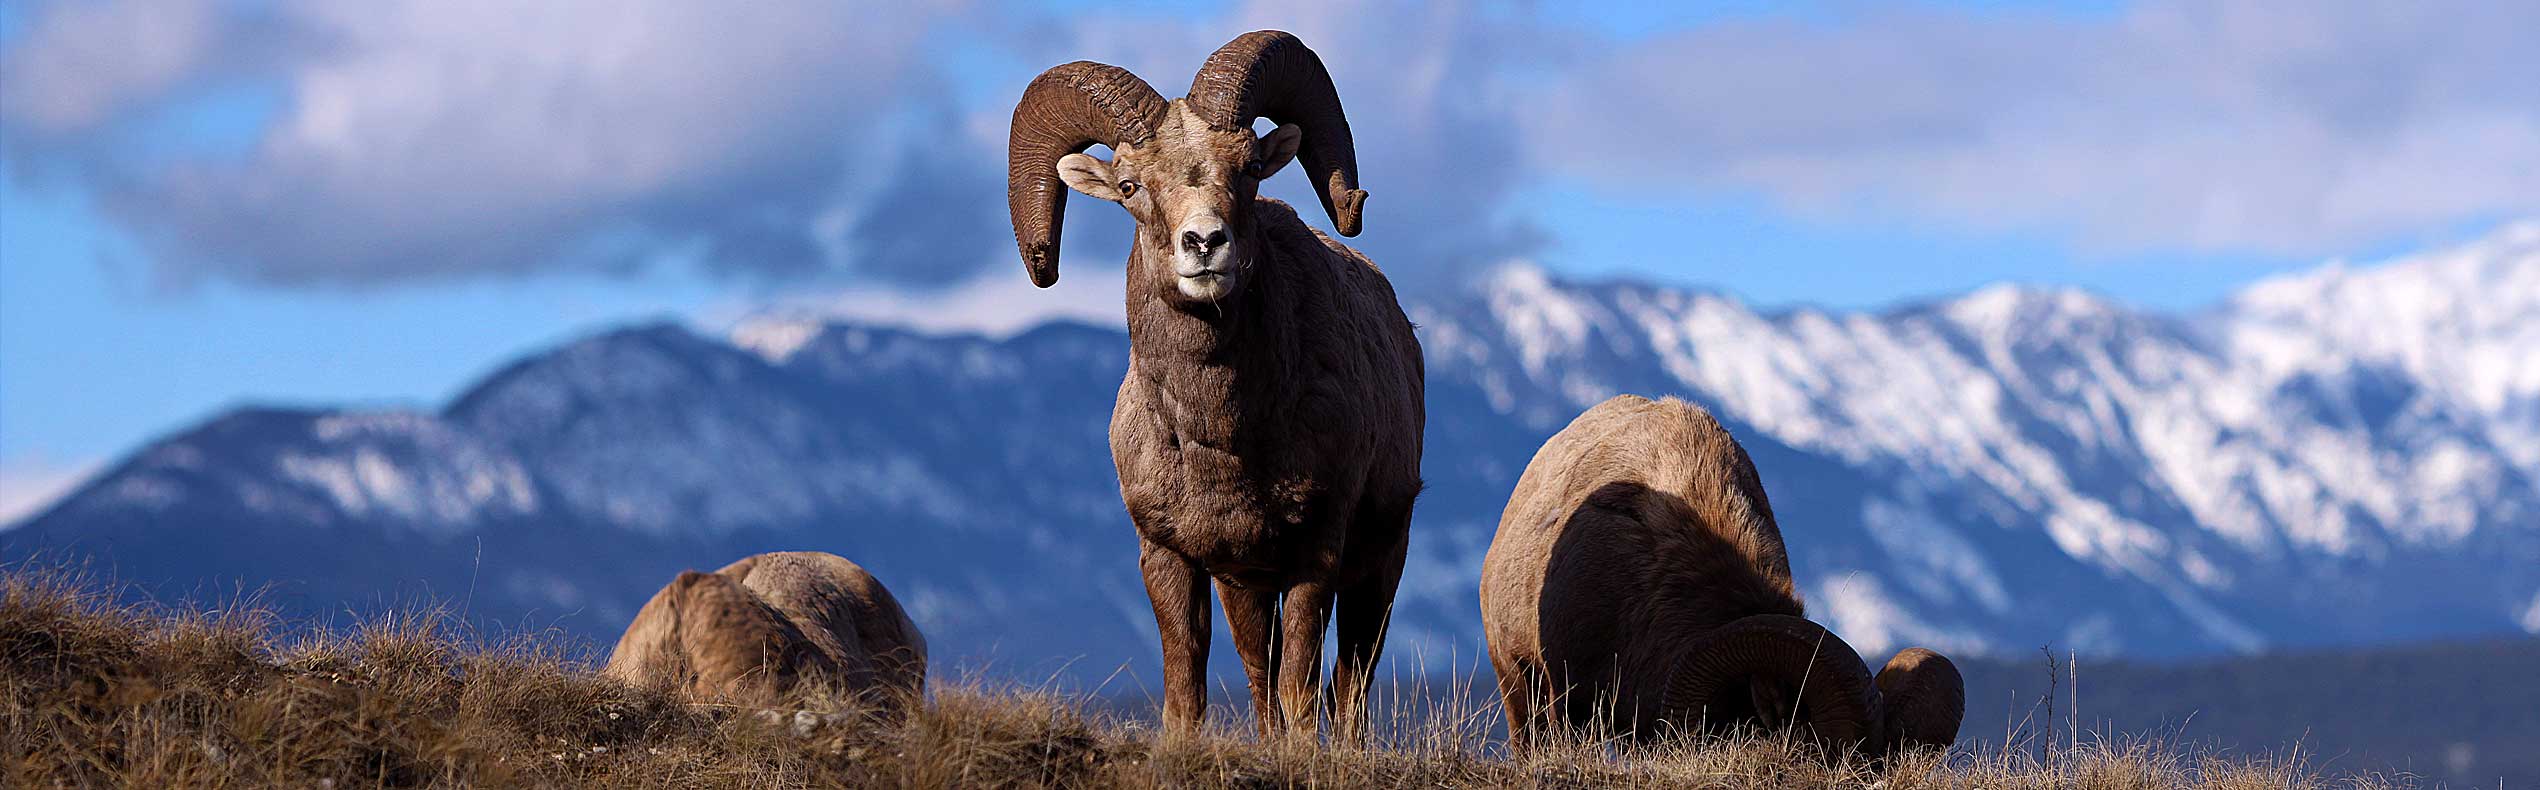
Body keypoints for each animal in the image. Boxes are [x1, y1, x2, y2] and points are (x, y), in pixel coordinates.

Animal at [1005, 30, 1432, 741]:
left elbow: (1300, 683)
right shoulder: (1172, 559)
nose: (1205, 243)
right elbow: (1191, 687)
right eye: (1130, 185)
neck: (1222, 439)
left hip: (1378, 559)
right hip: (1248, 589)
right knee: (1262, 675)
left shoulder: (1317, 552)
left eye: (1250, 168)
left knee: (1350, 677)